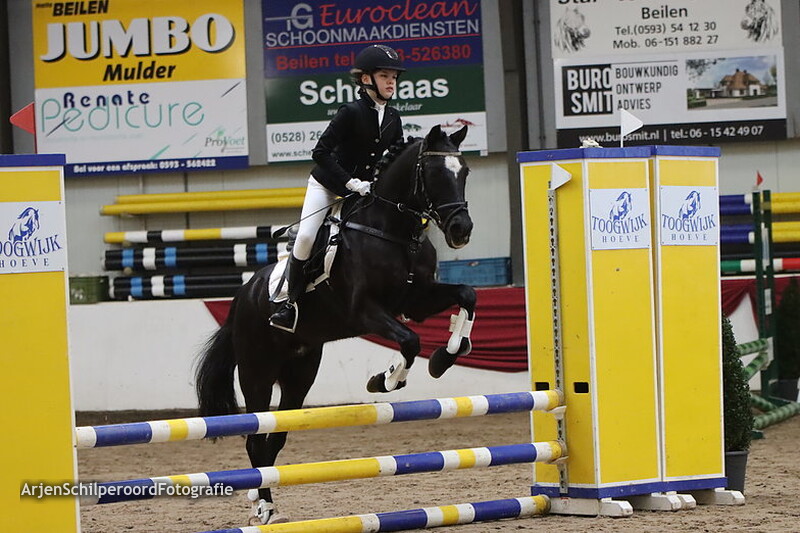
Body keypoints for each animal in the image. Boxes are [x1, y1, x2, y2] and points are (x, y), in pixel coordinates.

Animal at [195, 124, 476, 525]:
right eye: (436, 173)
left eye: (464, 172)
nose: (460, 230)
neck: (393, 230)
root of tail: (243, 296)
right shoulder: (365, 311)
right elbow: (409, 341)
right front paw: (385, 380)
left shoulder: (417, 301)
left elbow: (467, 295)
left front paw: (447, 356)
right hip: (256, 375)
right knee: (255, 438)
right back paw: (263, 506)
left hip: (299, 375)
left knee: (274, 438)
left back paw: (261, 498)